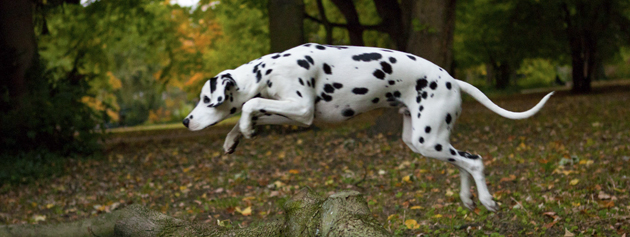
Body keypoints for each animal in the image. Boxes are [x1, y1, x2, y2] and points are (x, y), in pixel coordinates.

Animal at [183, 43, 552, 211]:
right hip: (424, 141)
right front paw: (236, 137)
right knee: (462, 161)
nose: (186, 120)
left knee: (474, 160)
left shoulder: (300, 107)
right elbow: (254, 110)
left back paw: (487, 200)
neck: (267, 70)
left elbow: (249, 105)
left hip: (428, 141)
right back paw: (467, 197)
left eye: (205, 99)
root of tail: (452, 79)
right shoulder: (297, 114)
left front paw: (244, 128)